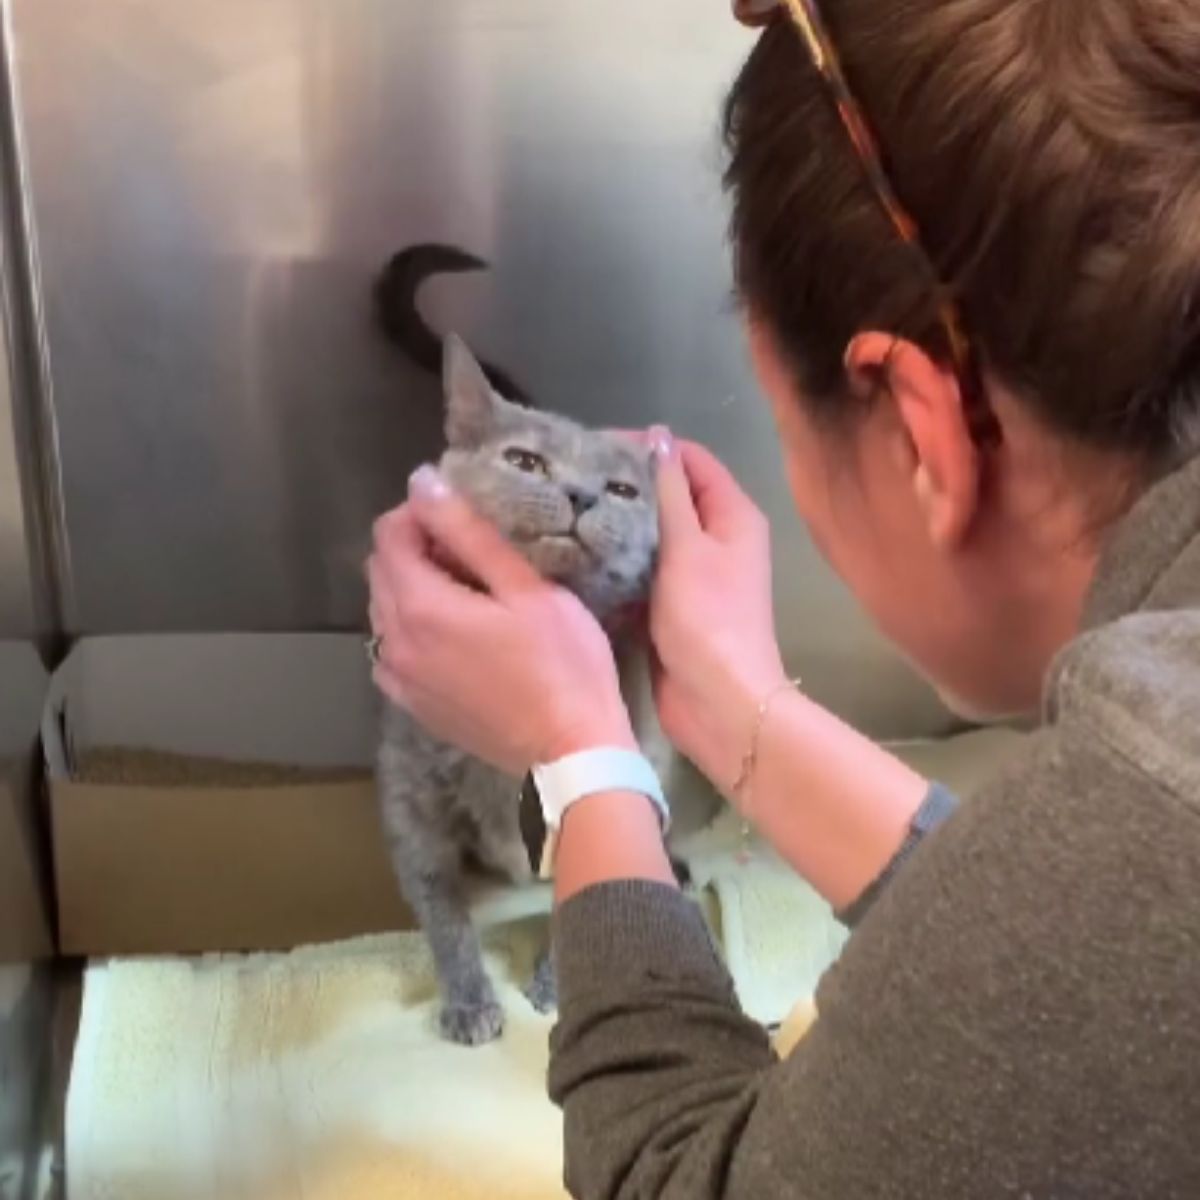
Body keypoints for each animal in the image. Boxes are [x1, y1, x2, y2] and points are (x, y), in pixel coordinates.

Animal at [376, 336, 672, 1041]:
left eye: (621, 489)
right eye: (523, 460)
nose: (582, 495)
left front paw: (553, 985)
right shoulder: (410, 801)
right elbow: (440, 905)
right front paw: (468, 1001)